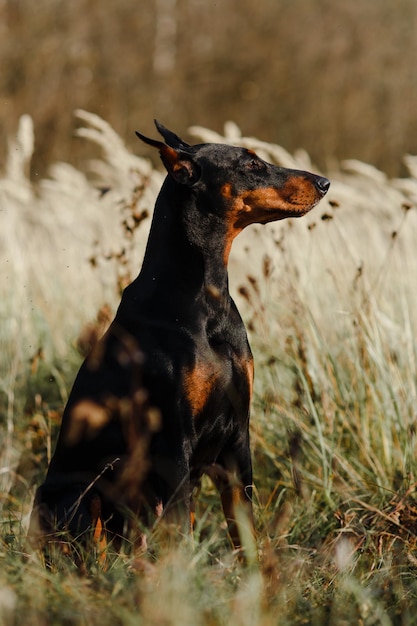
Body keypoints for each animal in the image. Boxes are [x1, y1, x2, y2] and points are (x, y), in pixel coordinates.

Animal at [30, 122, 328, 552]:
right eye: (251, 163)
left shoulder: (238, 441)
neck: (206, 296)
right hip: (77, 494)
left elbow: (247, 537)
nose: (324, 183)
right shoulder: (174, 445)